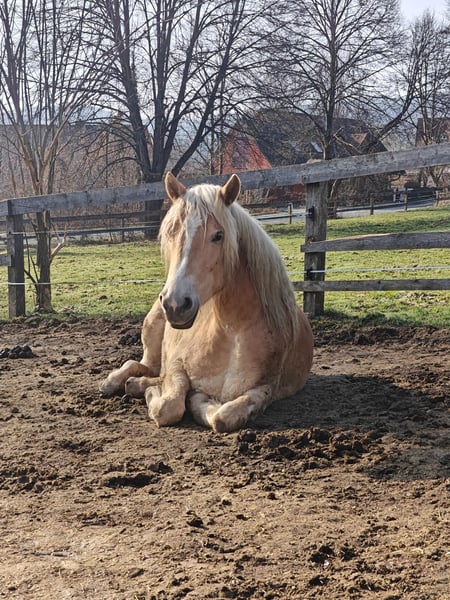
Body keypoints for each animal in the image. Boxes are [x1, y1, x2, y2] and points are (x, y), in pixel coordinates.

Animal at [99, 172, 313, 432]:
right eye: (170, 232)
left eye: (218, 235)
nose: (175, 304)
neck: (232, 332)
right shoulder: (176, 365)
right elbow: (169, 406)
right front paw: (151, 392)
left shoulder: (265, 388)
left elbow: (222, 416)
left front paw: (191, 400)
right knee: (139, 363)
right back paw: (115, 382)